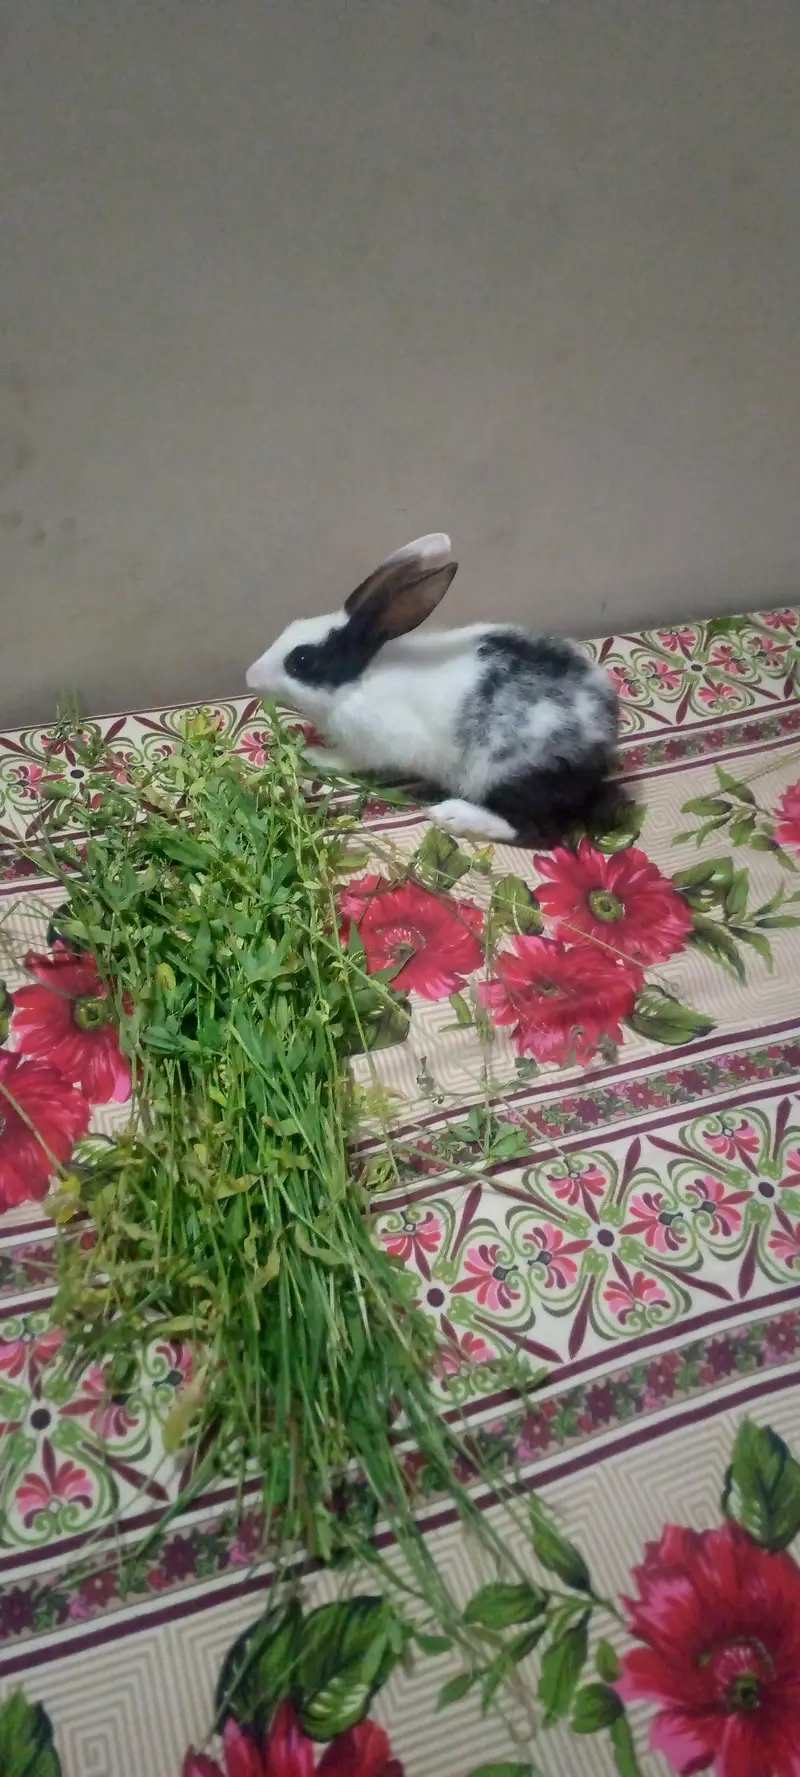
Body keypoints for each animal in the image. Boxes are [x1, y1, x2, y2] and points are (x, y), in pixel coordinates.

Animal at [245, 533, 626, 845]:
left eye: (302, 661)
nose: (250, 676)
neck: (356, 681)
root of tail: (604, 741)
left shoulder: (375, 745)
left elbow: (348, 760)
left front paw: (315, 755)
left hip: (505, 776)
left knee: (537, 832)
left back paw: (453, 815)